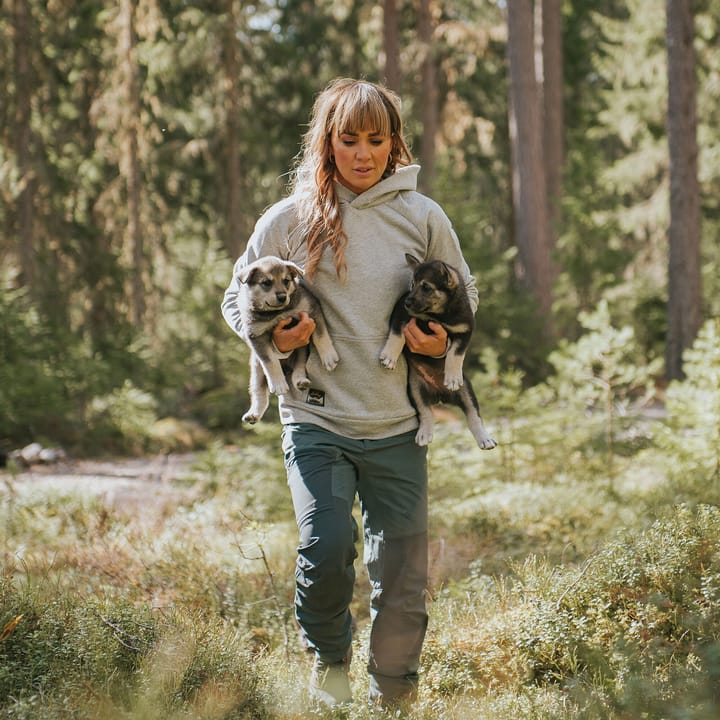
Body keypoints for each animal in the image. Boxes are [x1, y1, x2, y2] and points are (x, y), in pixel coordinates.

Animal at [235, 256, 338, 422]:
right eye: (266, 282)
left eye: (286, 281)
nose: (283, 297)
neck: (277, 312)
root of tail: (287, 368)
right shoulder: (256, 335)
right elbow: (270, 361)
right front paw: (278, 384)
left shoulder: (311, 310)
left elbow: (321, 335)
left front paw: (328, 356)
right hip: (256, 369)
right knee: (259, 393)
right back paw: (253, 414)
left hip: (302, 352)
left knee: (299, 368)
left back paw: (301, 381)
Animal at [380, 255, 498, 450]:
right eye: (412, 284)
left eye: (426, 287)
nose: (407, 302)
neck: (439, 315)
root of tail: (441, 396)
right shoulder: (401, 314)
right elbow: (397, 334)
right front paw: (389, 356)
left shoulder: (464, 331)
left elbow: (455, 354)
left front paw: (452, 377)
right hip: (415, 390)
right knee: (427, 413)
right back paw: (424, 434)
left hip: (466, 390)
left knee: (474, 416)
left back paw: (485, 439)